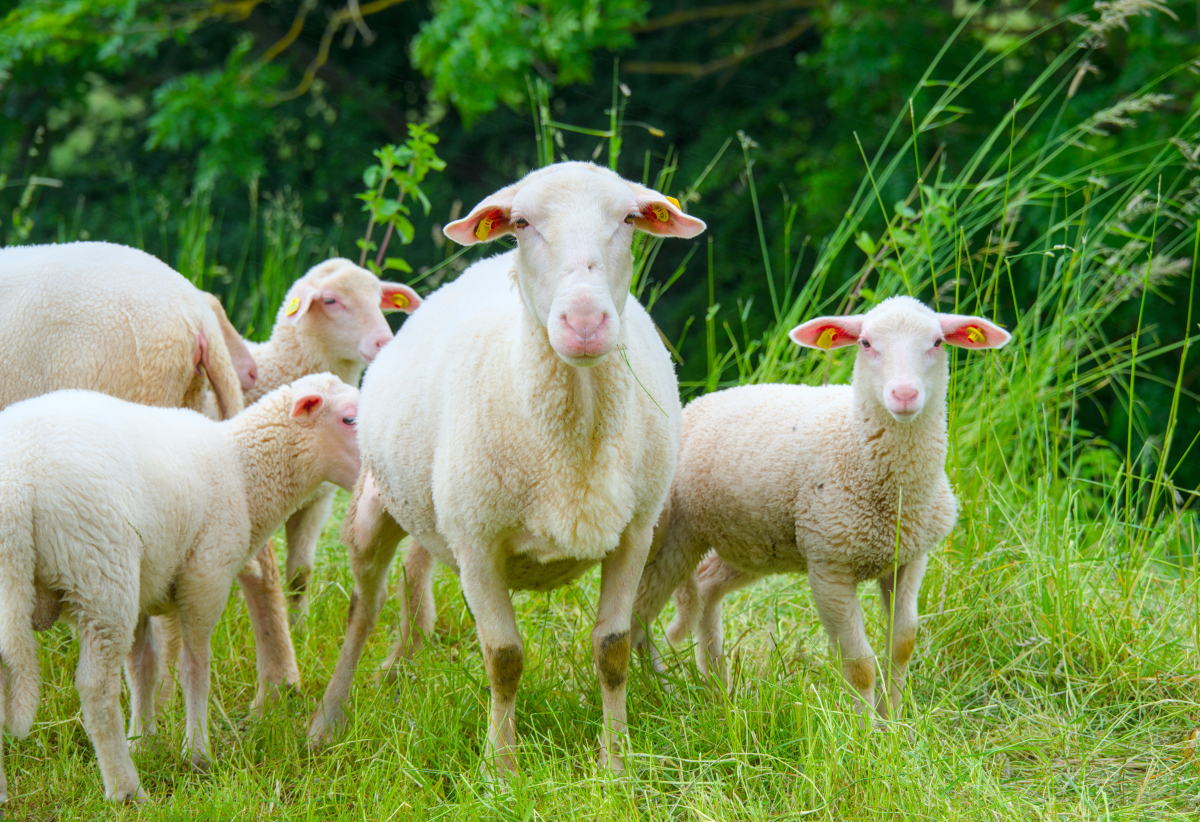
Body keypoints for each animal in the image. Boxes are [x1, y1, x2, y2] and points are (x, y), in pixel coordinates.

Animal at [0, 372, 360, 801]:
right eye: (350, 419)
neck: (243, 473)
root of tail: (17, 482)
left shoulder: (144, 592)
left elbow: (144, 669)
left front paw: (145, 741)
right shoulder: (205, 578)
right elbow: (194, 669)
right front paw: (197, 754)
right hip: (101, 576)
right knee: (96, 690)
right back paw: (127, 792)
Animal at [304, 158, 705, 768]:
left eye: (629, 219)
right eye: (521, 222)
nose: (583, 323)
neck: (575, 435)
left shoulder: (633, 534)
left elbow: (611, 649)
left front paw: (615, 762)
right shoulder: (478, 543)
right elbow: (503, 658)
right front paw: (502, 767)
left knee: (414, 573)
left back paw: (401, 666)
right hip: (377, 506)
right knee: (363, 609)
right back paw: (327, 720)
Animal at [633, 296, 1008, 720]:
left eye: (938, 342)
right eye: (865, 343)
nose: (904, 395)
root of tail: (697, 402)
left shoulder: (908, 558)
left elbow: (902, 644)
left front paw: (894, 721)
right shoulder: (830, 567)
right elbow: (859, 664)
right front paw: (864, 731)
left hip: (749, 540)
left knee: (705, 585)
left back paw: (718, 693)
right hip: (672, 538)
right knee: (635, 617)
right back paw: (657, 693)